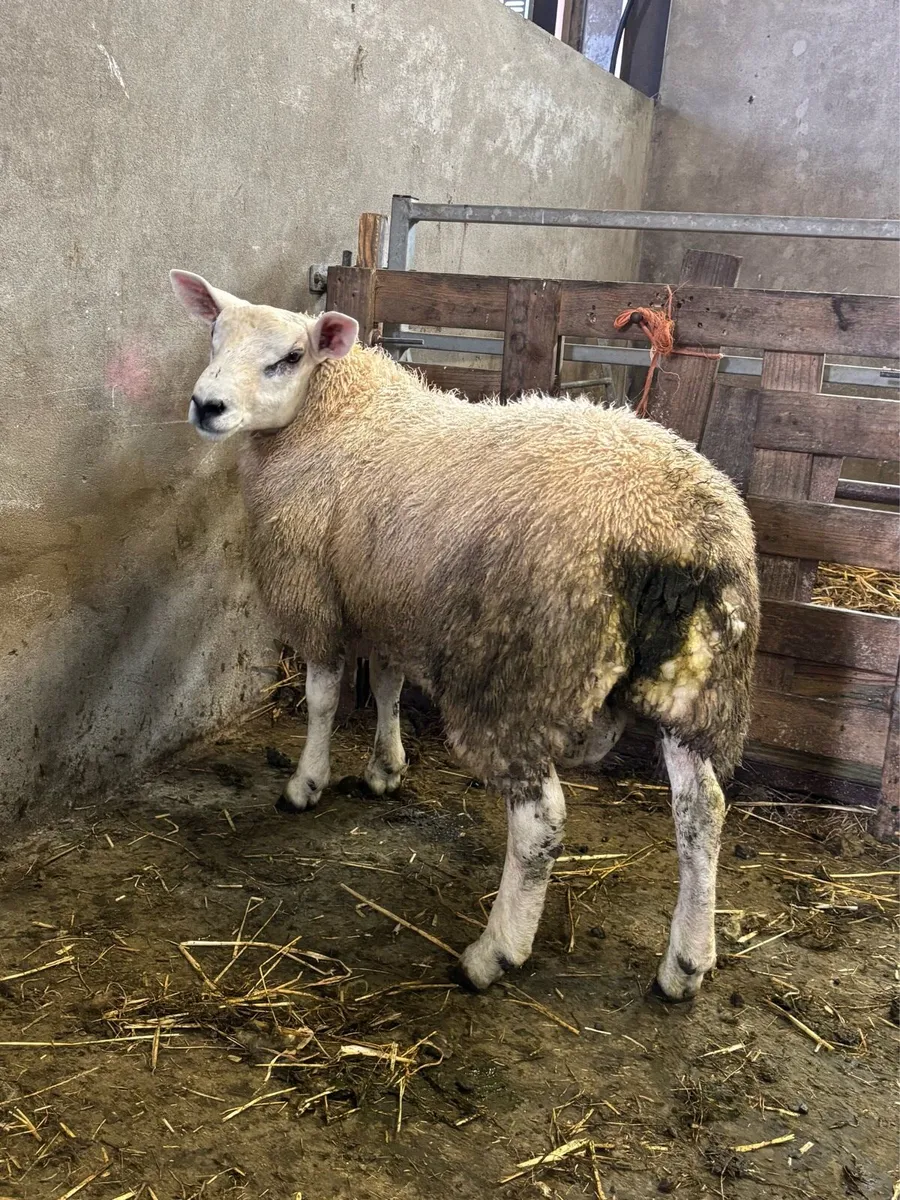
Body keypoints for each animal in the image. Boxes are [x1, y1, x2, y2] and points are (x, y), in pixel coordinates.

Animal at [170, 269, 760, 1002]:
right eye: (214, 337)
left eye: (289, 357)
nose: (207, 406)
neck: (336, 415)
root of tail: (668, 529)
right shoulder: (387, 599)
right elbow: (388, 685)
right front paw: (385, 769)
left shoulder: (317, 595)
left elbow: (324, 698)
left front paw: (307, 783)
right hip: (701, 683)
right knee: (701, 810)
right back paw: (686, 963)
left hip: (523, 671)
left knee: (541, 820)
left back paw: (495, 952)